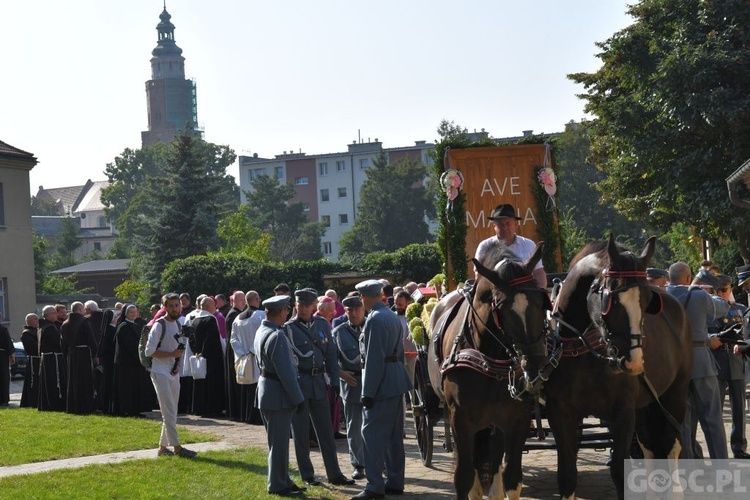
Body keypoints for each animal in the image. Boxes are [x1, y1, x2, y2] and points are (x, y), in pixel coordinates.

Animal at [428, 243, 552, 500]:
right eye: (502, 308)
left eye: (541, 300)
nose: (537, 364)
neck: (489, 359)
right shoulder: (461, 420)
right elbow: (464, 477)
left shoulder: (516, 420)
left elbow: (512, 477)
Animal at [544, 235, 696, 500]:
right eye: (609, 299)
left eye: (647, 301)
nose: (633, 361)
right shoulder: (561, 413)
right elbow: (567, 474)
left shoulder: (623, 412)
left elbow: (619, 472)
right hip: (646, 404)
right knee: (650, 447)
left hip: (674, 394)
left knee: (671, 446)